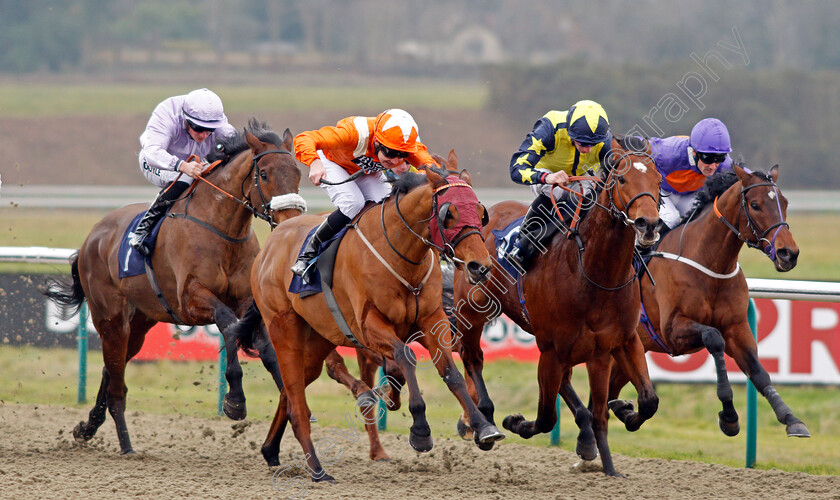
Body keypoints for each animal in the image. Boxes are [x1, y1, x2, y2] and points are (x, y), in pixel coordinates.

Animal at [41, 119, 306, 456]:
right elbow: (228, 324)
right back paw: (126, 446)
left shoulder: (247, 300)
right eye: (265, 174)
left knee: (111, 371)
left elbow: (266, 347)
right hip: (110, 319)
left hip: (139, 325)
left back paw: (87, 427)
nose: (290, 220)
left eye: (297, 172)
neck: (222, 230)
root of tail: (90, 239)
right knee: (116, 386)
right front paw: (235, 400)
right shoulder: (191, 300)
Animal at [243, 166, 506, 482]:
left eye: (480, 212)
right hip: (284, 331)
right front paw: (420, 430)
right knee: (296, 401)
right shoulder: (368, 326)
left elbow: (450, 373)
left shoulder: (432, 320)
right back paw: (317, 469)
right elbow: (405, 356)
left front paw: (483, 426)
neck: (401, 255)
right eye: (449, 214)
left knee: (290, 393)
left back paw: (271, 449)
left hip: (318, 340)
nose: (481, 267)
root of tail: (268, 247)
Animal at [452, 142, 664, 476]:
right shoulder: (552, 349)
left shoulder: (620, 342)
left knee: (568, 385)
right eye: (622, 179)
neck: (594, 273)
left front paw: (618, 431)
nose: (649, 224)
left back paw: (587, 438)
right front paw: (515, 421)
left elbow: (646, 401)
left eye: (658, 180)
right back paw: (485, 422)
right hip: (473, 312)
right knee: (473, 357)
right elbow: (546, 417)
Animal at [608, 163, 812, 438]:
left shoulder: (737, 327)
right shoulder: (672, 330)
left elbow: (758, 371)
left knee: (612, 394)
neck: (709, 263)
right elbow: (714, 339)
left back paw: (624, 411)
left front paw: (791, 418)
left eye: (785, 202)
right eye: (755, 205)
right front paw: (729, 416)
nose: (788, 253)